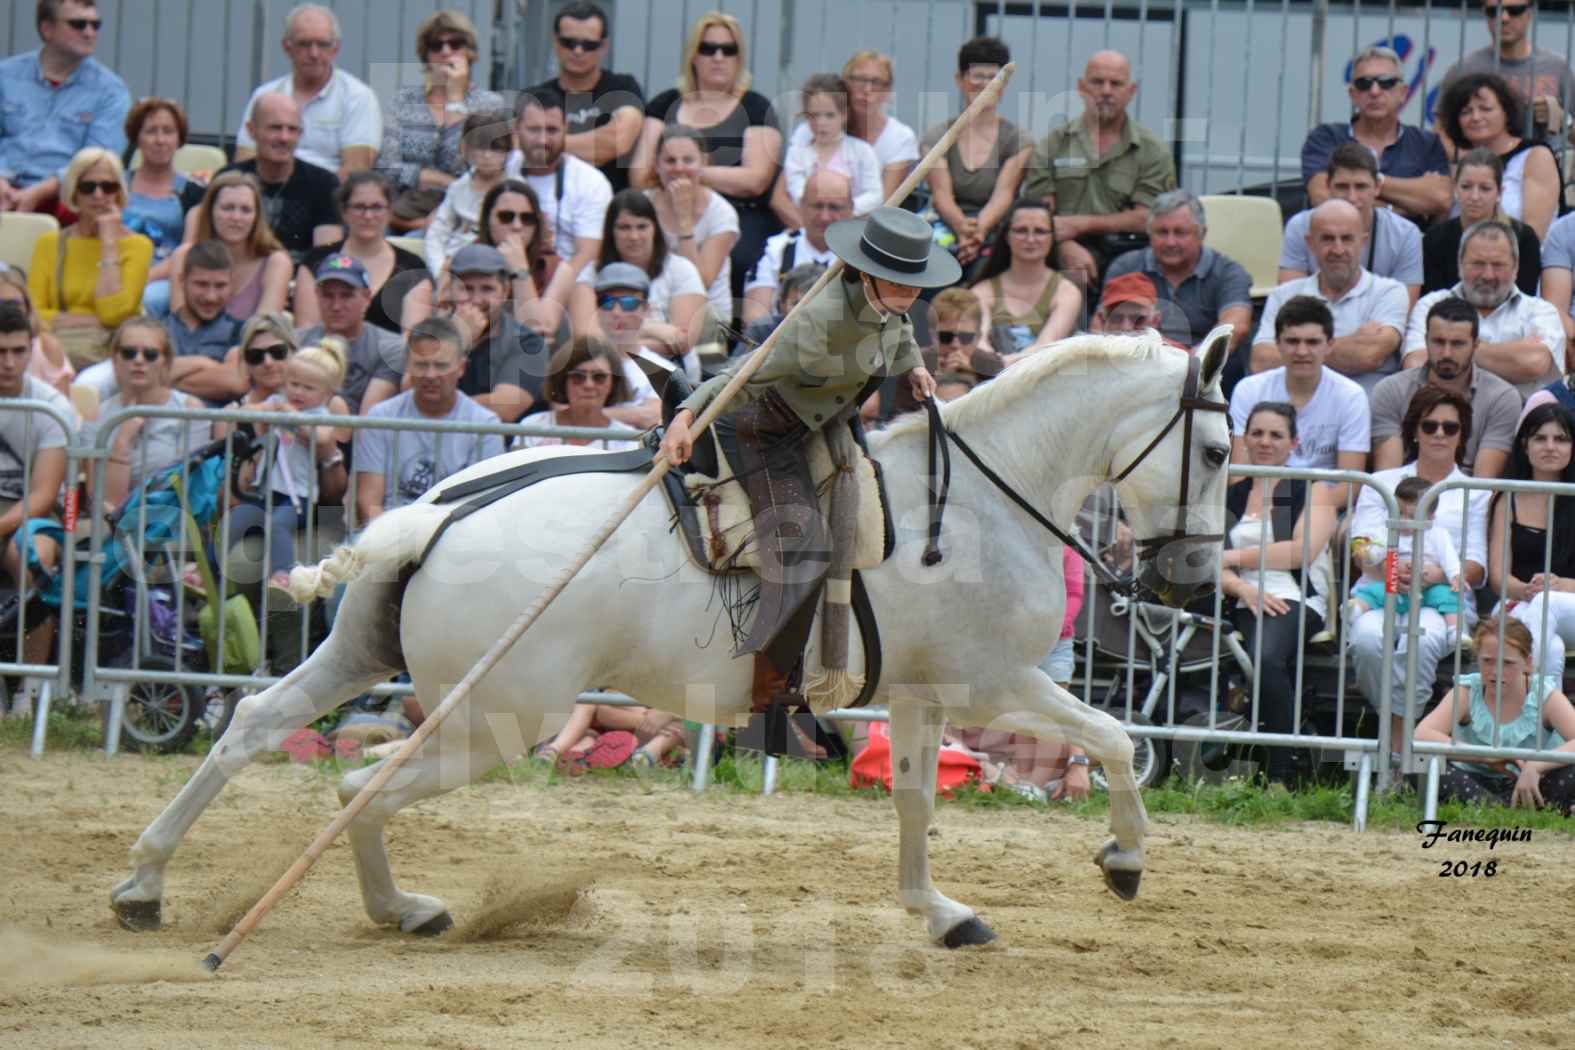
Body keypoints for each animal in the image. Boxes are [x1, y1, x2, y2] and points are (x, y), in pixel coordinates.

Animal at [111, 332, 1234, 950]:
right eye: (1221, 451)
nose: (1189, 578)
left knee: (254, 725)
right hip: (492, 720)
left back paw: (145, 881)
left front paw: (940, 912)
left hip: (360, 656)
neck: (984, 497)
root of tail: (433, 517)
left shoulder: (921, 695)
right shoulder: (994, 682)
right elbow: (1118, 740)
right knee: (358, 786)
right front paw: (1124, 858)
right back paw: (404, 909)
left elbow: (917, 806)